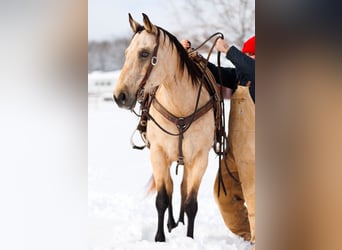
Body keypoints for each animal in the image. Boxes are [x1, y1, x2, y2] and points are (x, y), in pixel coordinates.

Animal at [113, 13, 218, 242]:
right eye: (126, 53)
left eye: (144, 53)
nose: (119, 96)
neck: (181, 109)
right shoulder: (158, 155)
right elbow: (162, 198)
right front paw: (160, 237)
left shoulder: (199, 159)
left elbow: (191, 203)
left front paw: (189, 238)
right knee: (169, 188)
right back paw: (170, 223)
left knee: (182, 188)